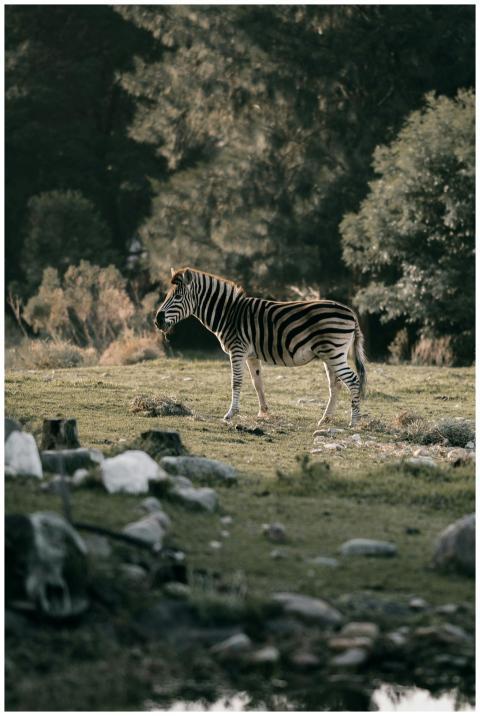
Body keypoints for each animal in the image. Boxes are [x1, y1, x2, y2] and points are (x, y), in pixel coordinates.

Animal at [154, 267, 367, 427]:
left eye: (178, 297)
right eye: (167, 295)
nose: (157, 321)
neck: (229, 314)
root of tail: (351, 313)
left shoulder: (237, 350)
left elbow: (236, 382)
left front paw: (230, 414)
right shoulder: (251, 355)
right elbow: (258, 383)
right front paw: (263, 412)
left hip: (334, 352)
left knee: (353, 380)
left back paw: (354, 421)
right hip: (328, 354)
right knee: (336, 384)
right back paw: (325, 419)